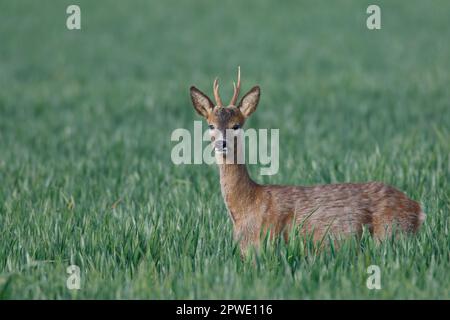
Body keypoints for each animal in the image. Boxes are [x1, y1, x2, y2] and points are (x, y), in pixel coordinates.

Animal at [189, 67, 426, 255]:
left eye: (236, 125)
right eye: (211, 125)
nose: (221, 143)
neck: (248, 206)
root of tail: (418, 208)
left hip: (390, 232)